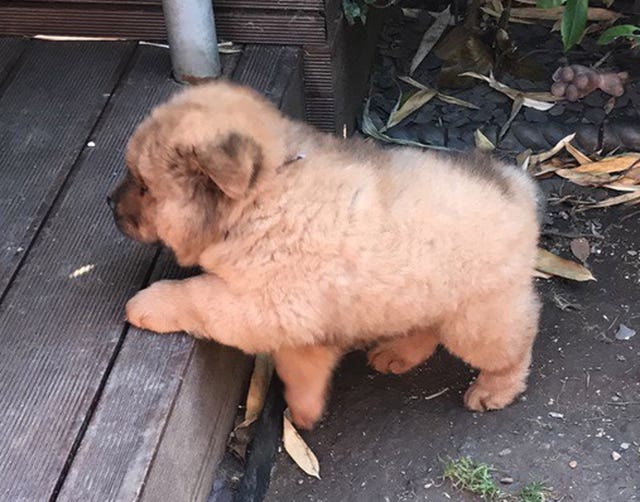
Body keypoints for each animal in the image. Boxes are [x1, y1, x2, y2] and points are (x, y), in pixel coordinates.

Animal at [109, 80, 540, 430]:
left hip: (477, 318)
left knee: (514, 346)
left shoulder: (260, 305)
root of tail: (518, 187)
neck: (264, 195)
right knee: (426, 329)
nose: (109, 202)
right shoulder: (300, 320)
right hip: (425, 297)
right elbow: (302, 367)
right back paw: (396, 354)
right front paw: (305, 411)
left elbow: (194, 297)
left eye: (144, 187)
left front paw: (146, 304)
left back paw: (492, 391)